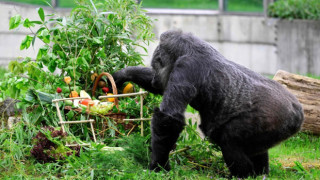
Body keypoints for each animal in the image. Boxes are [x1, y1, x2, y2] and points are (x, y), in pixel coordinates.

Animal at [113, 30, 304, 178]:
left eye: (156, 63)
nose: (154, 77)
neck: (189, 49)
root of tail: (298, 110)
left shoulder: (185, 68)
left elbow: (169, 118)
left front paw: (158, 165)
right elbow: (160, 89)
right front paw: (121, 75)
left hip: (275, 117)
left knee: (229, 140)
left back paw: (242, 175)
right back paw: (259, 174)